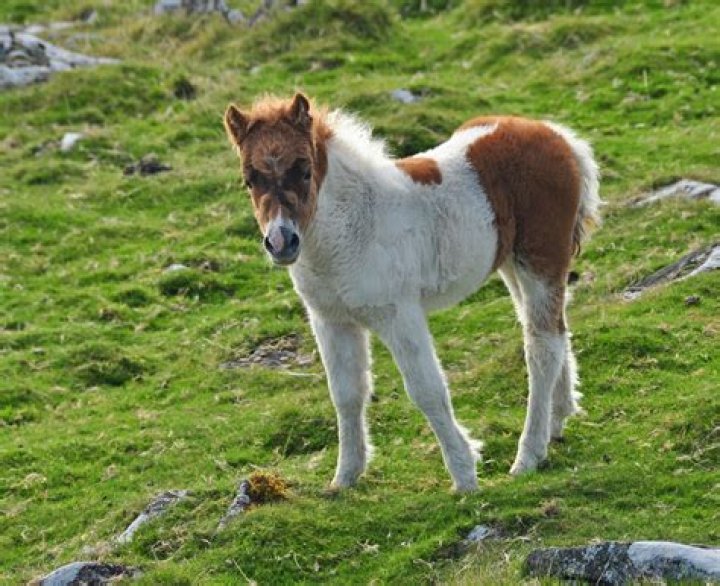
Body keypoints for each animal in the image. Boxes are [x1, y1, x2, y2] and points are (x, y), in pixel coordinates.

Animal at [224, 93, 600, 491]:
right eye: (249, 180)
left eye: (305, 171)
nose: (282, 242)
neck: (352, 227)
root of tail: (559, 137)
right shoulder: (331, 321)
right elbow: (346, 394)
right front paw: (345, 477)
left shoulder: (399, 314)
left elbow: (426, 390)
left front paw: (464, 475)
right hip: (512, 264)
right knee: (555, 331)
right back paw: (557, 421)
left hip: (540, 260)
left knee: (541, 346)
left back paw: (528, 455)